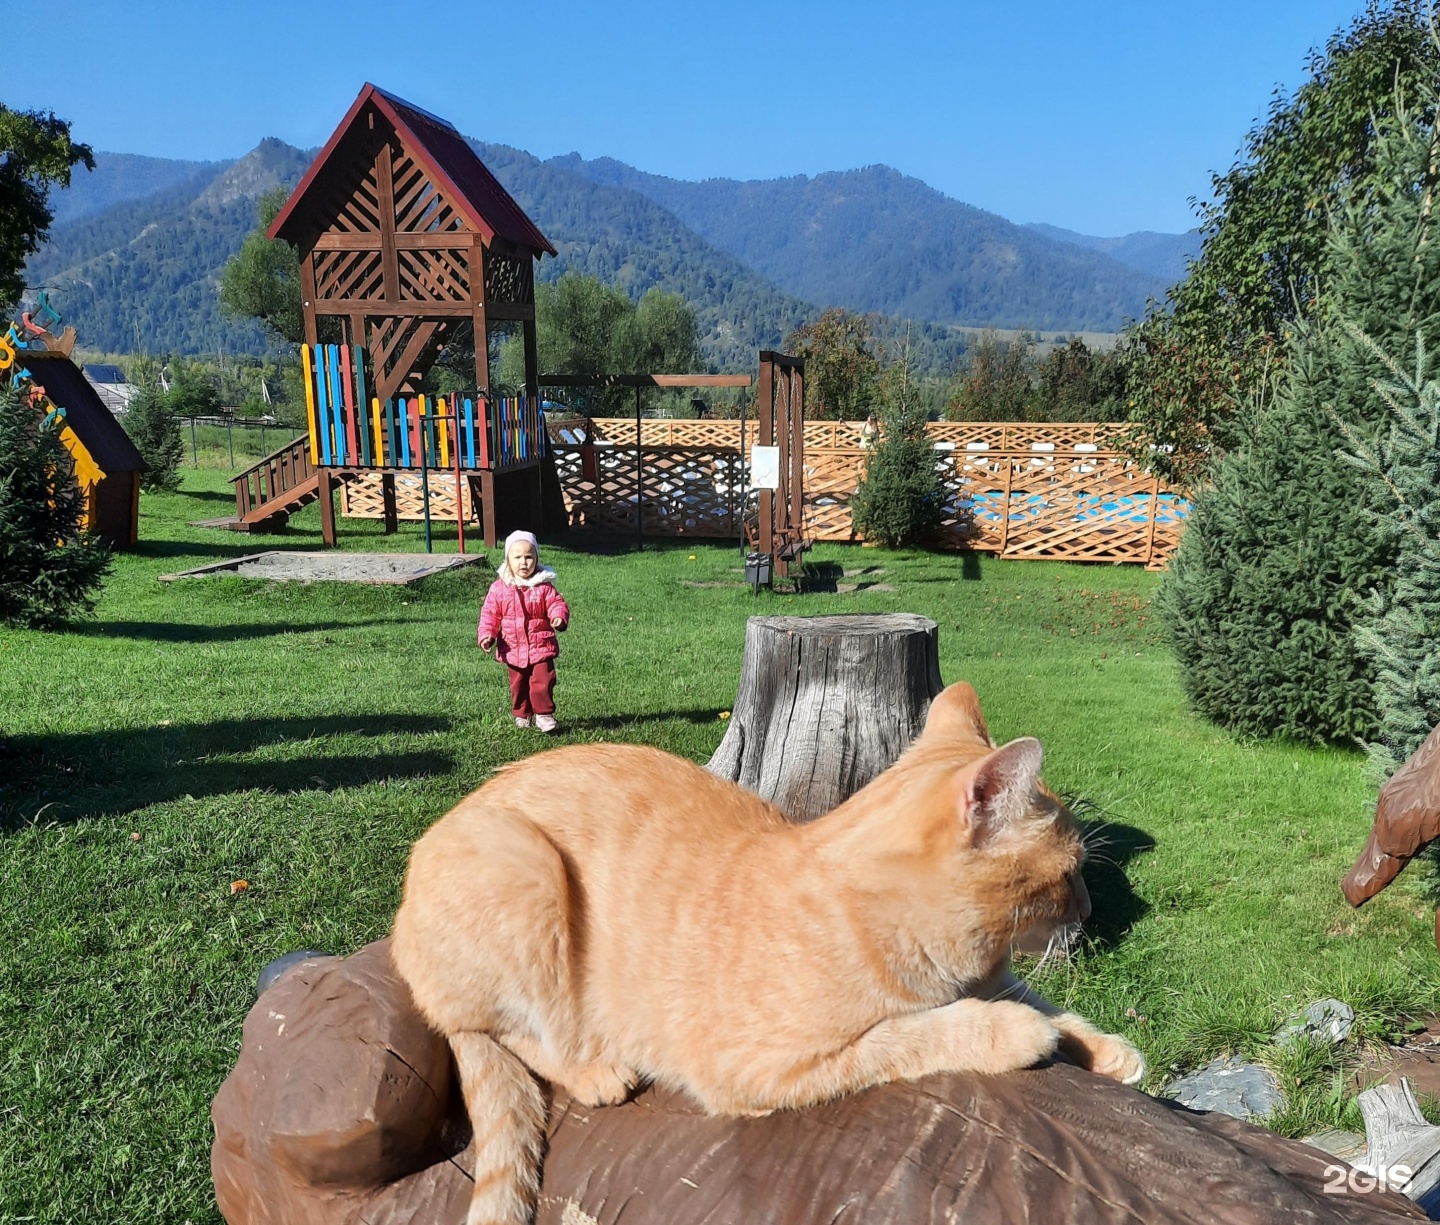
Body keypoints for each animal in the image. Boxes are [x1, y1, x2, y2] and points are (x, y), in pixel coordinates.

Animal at [388, 679, 1140, 1225]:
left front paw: (1108, 1050)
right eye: (1071, 871)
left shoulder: (998, 976)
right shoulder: (761, 1068)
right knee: (508, 1031)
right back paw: (595, 1069)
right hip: (524, 868)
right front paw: (1016, 1033)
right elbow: (915, 1034)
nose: (1087, 909)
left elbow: (1049, 1005)